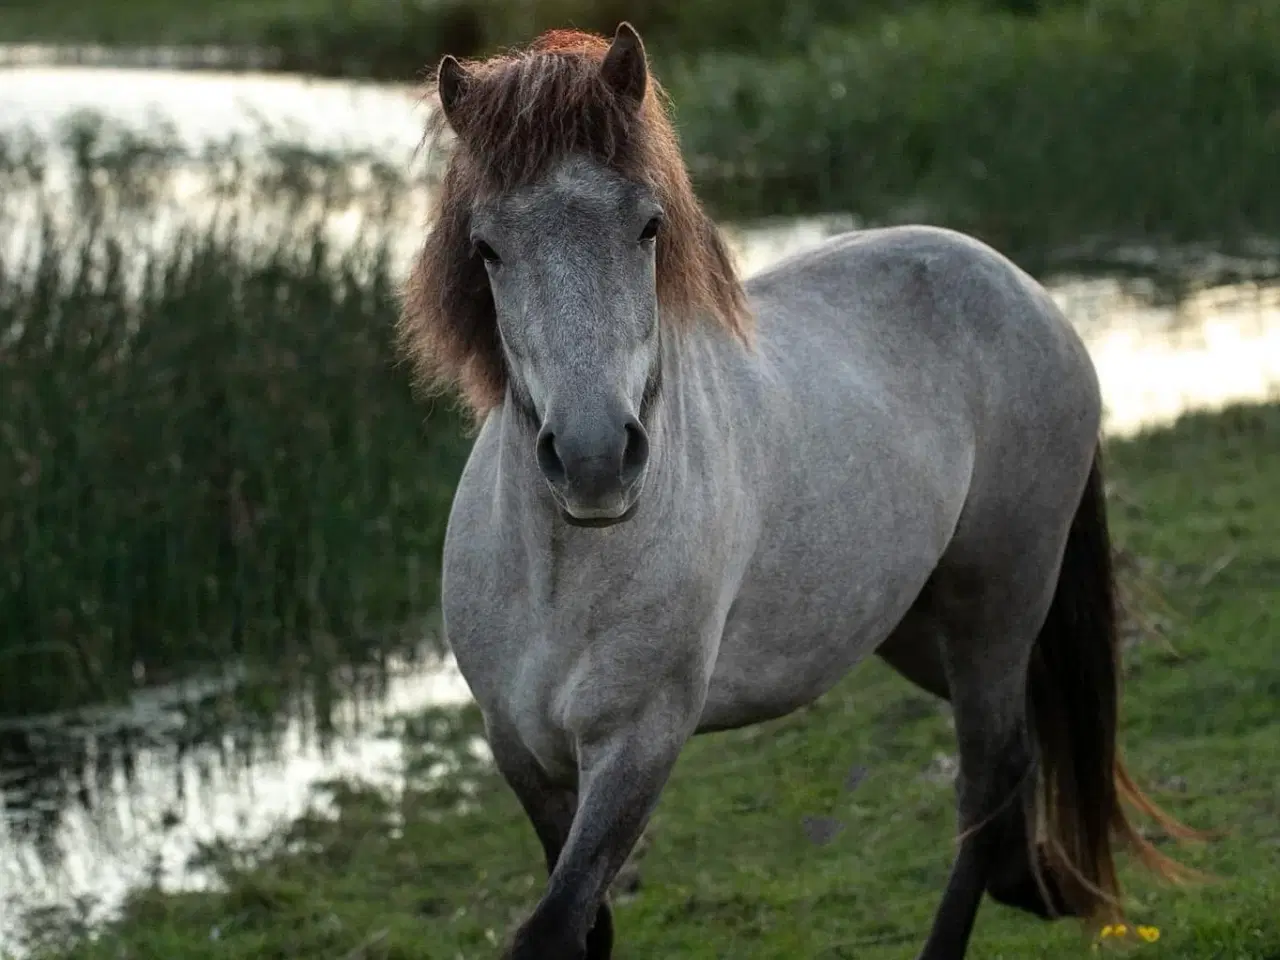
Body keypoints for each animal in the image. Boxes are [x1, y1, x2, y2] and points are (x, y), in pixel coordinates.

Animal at [394, 22, 1192, 960]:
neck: (563, 570)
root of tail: (1027, 292)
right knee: (1018, 753)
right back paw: (1035, 883)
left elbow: (555, 926)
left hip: (996, 605)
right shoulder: (522, 752)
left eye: (648, 227)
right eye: (488, 247)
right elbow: (586, 926)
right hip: (919, 630)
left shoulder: (637, 744)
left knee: (987, 782)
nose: (595, 460)